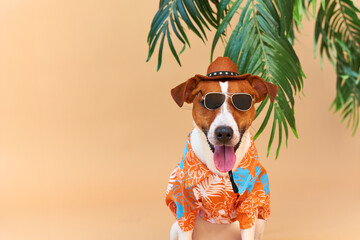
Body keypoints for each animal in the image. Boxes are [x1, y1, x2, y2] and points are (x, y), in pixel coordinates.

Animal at [166, 56, 278, 240]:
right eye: (207, 102)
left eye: (243, 102)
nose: (224, 132)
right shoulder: (184, 206)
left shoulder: (250, 205)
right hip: (174, 227)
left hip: (260, 223)